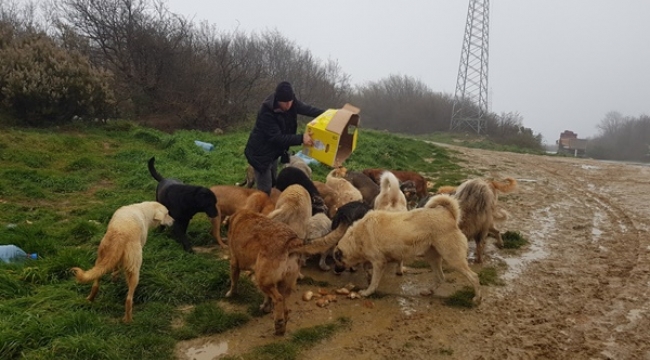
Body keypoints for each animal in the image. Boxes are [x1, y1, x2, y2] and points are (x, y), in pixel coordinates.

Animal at [332, 194, 478, 304]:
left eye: (336, 260)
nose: (335, 271)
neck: (357, 237)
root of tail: (449, 214)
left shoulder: (379, 263)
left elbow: (373, 281)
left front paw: (367, 292)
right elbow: (365, 267)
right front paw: (367, 276)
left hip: (452, 258)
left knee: (473, 277)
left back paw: (477, 298)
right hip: (432, 257)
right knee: (441, 277)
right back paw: (429, 291)